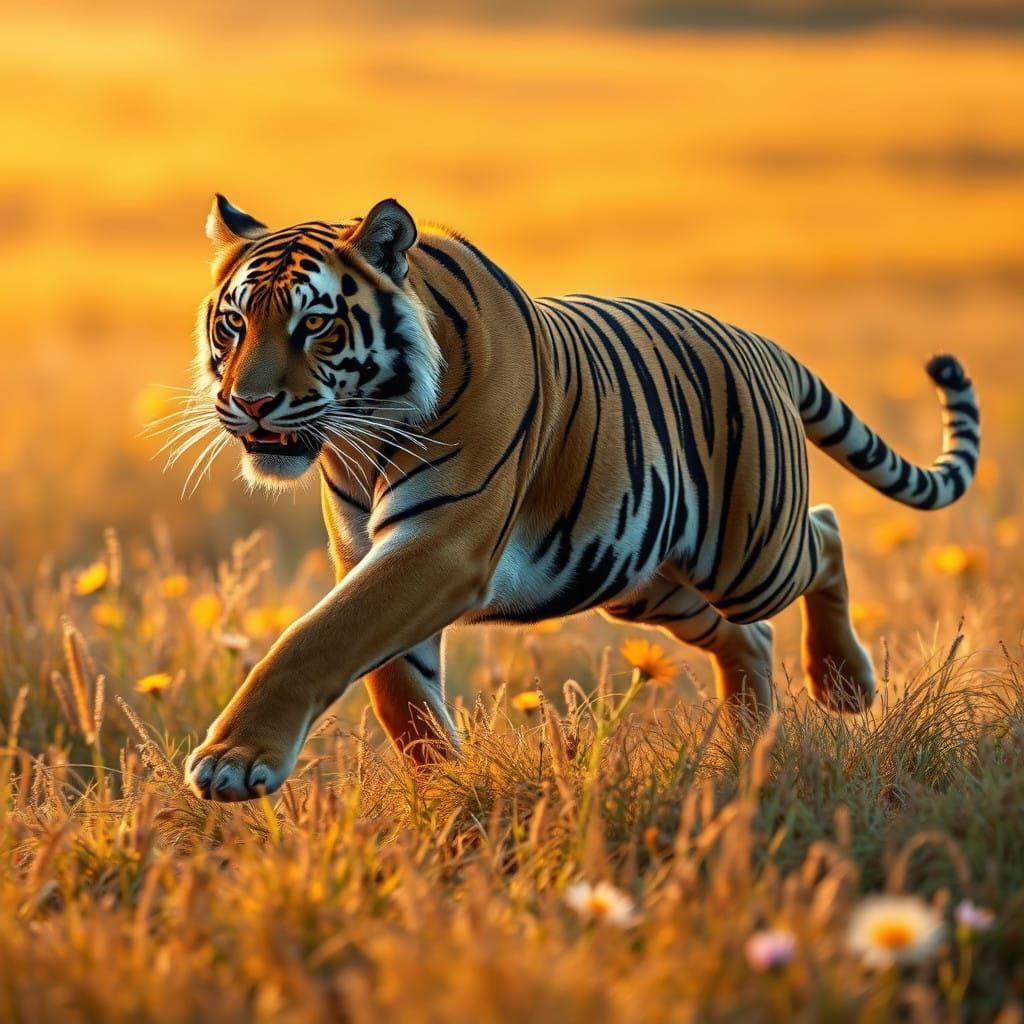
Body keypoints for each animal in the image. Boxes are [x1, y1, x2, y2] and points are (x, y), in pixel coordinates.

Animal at [182, 194, 980, 801]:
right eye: (234, 323)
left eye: (315, 323)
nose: (250, 404)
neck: (364, 438)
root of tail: (764, 346)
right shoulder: (364, 552)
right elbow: (396, 690)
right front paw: (446, 789)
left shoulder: (442, 544)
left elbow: (316, 638)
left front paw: (234, 761)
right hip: (638, 576)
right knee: (748, 635)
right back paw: (747, 749)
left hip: (750, 552)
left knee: (826, 534)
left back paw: (843, 683)